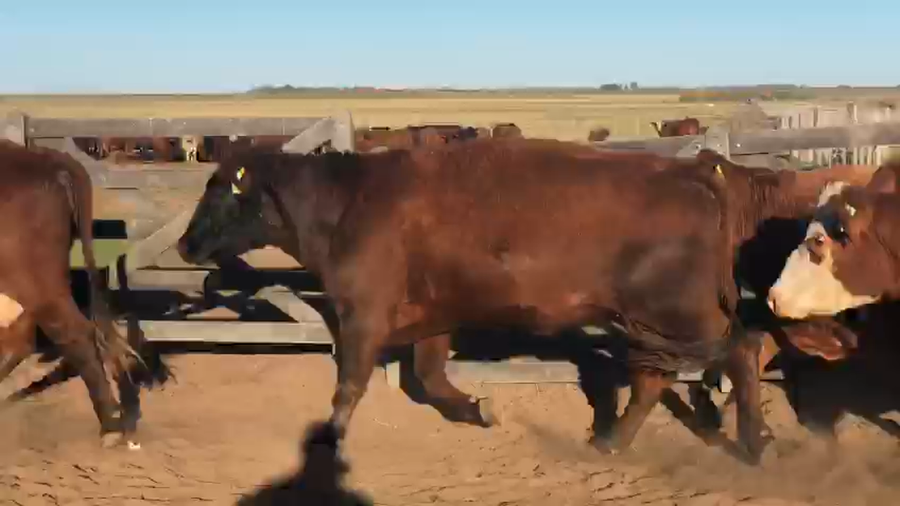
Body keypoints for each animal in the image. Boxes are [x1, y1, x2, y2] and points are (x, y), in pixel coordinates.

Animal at [175, 137, 771, 464]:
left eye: (221, 189)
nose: (185, 244)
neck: (348, 201)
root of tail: (690, 170)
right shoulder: (433, 317)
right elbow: (430, 376)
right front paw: (479, 410)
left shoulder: (363, 313)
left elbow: (350, 383)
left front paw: (330, 438)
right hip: (646, 323)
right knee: (653, 380)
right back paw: (611, 442)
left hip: (683, 316)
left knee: (741, 352)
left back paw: (754, 439)